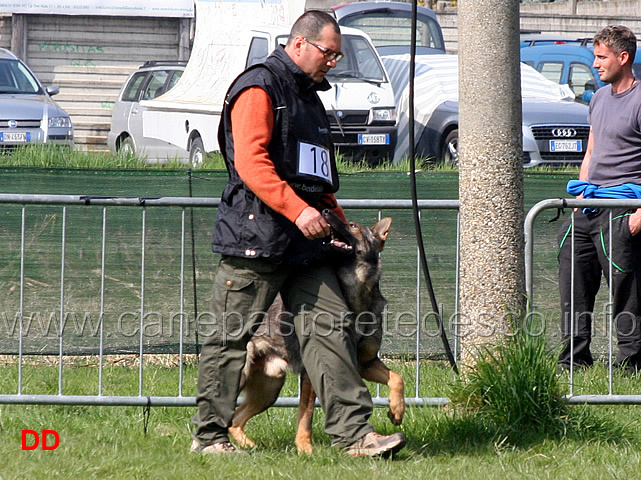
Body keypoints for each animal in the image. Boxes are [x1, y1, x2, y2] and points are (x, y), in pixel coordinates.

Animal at [228, 210, 402, 454]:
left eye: (352, 225)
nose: (326, 212)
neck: (356, 297)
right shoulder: (312, 373)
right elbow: (306, 414)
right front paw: (305, 449)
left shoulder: (363, 364)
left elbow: (397, 378)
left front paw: (396, 411)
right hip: (244, 378)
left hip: (270, 388)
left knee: (235, 420)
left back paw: (249, 446)